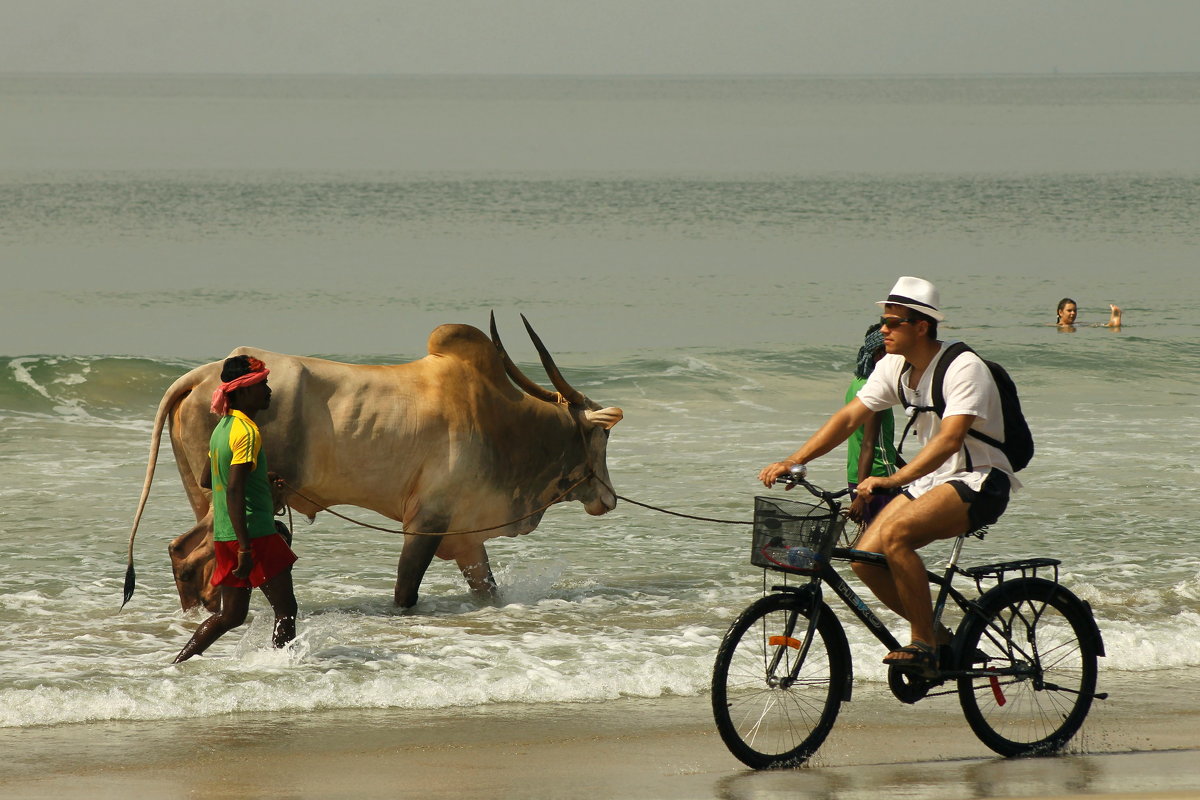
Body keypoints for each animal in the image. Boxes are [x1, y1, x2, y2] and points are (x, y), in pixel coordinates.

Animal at [125, 316, 624, 609]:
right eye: (603, 435)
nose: (610, 499)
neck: (502, 422)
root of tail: (200, 375)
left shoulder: (465, 536)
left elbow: (487, 588)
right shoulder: (426, 522)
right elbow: (405, 592)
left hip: (204, 494)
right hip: (231, 499)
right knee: (185, 554)